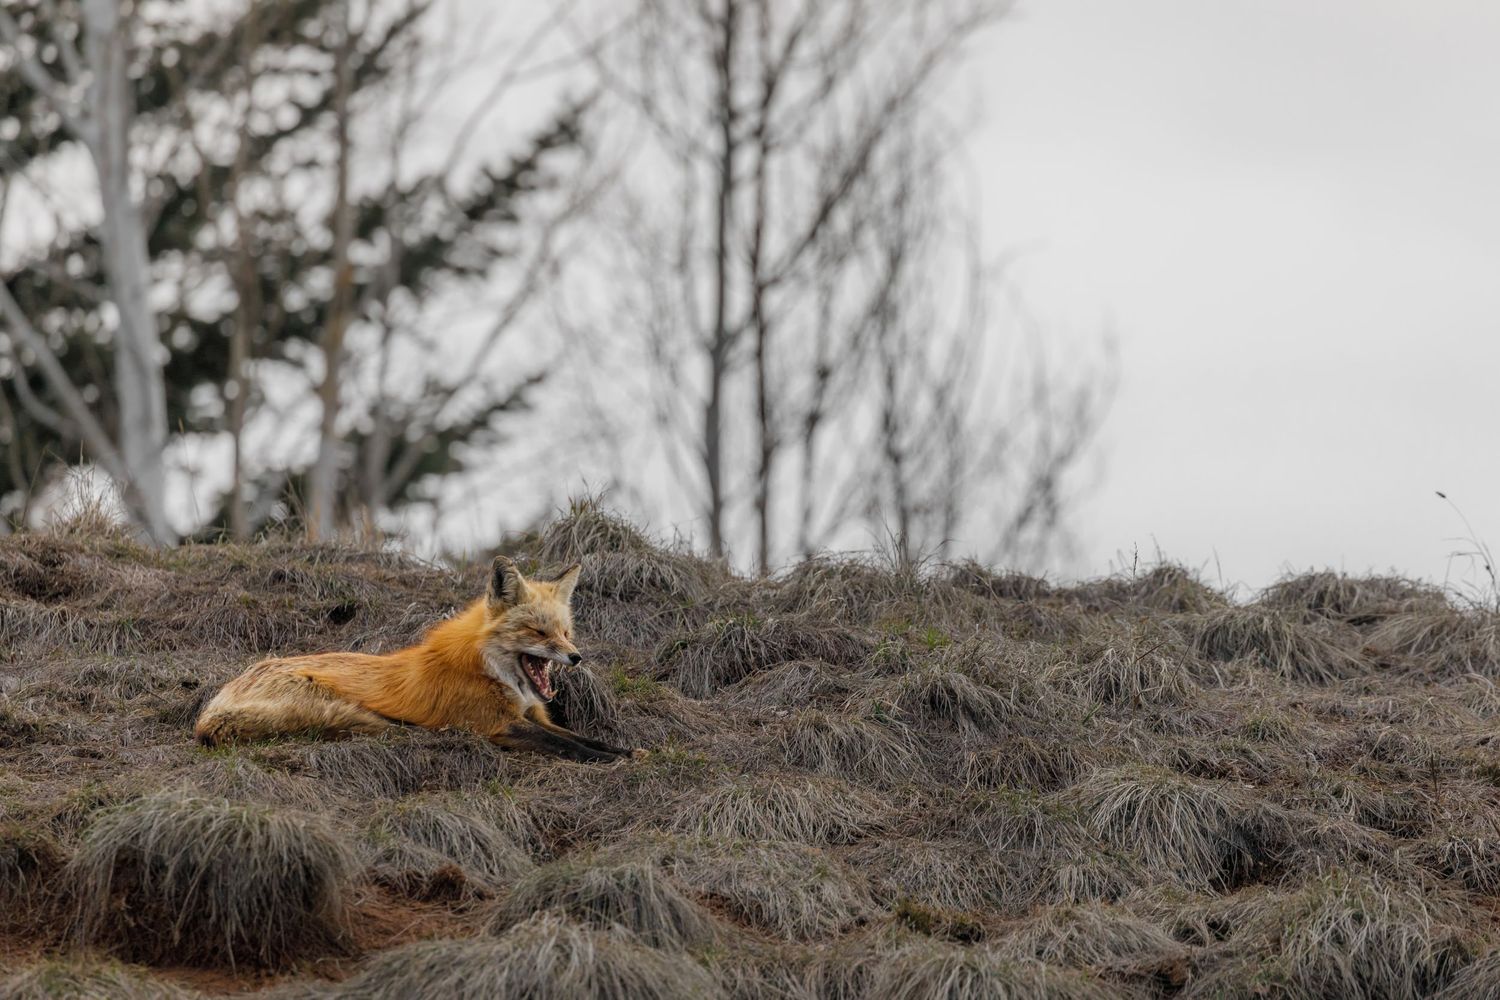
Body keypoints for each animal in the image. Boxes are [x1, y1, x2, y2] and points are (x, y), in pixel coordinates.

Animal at [193, 556, 634, 762]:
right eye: (538, 633)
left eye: (565, 632)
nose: (576, 657)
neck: (487, 670)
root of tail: (212, 708)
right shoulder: (497, 725)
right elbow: (569, 747)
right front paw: (612, 760)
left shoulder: (530, 715)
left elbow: (582, 738)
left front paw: (625, 752)